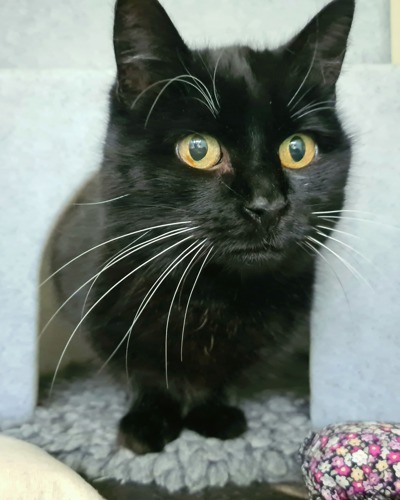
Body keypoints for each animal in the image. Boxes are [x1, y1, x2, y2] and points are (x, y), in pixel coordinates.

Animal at [50, 0, 354, 454]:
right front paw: (148, 422)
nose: (267, 204)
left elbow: (222, 377)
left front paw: (213, 414)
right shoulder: (101, 317)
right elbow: (142, 374)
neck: (213, 295)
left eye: (298, 149)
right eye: (198, 149)